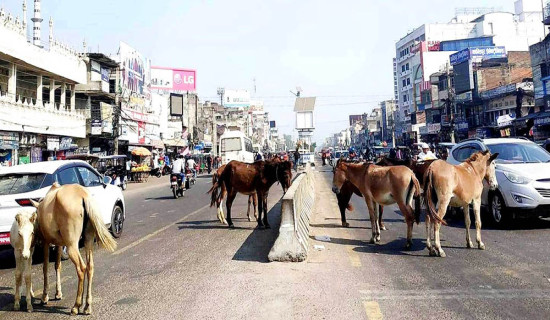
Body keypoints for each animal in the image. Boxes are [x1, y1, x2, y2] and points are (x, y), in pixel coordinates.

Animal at [30, 182, 117, 316]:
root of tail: (84, 196)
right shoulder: (59, 244)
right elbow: (57, 265)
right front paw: (58, 293)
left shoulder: (46, 242)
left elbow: (45, 268)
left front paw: (45, 297)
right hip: (88, 239)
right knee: (90, 267)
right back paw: (87, 306)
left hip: (72, 244)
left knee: (81, 268)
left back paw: (76, 306)